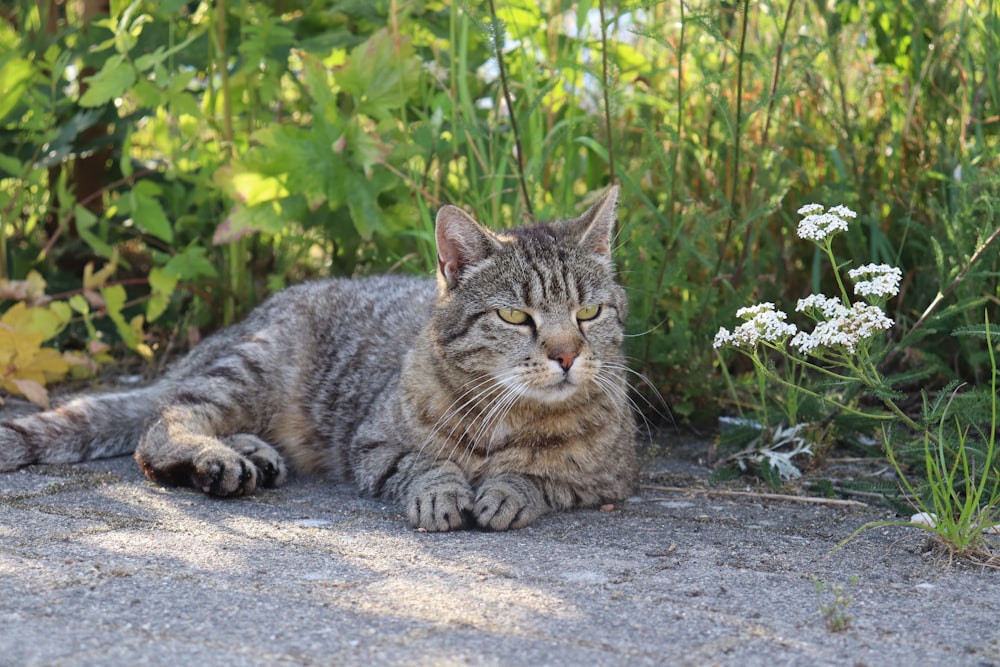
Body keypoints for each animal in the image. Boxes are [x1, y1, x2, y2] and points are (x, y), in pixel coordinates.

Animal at [0, 188, 636, 532]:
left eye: (588, 313)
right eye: (514, 317)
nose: (567, 354)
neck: (509, 417)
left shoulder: (609, 477)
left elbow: (543, 478)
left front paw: (508, 489)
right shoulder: (371, 445)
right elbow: (425, 464)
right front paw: (443, 490)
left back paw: (251, 453)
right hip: (253, 365)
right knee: (163, 424)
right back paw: (217, 458)